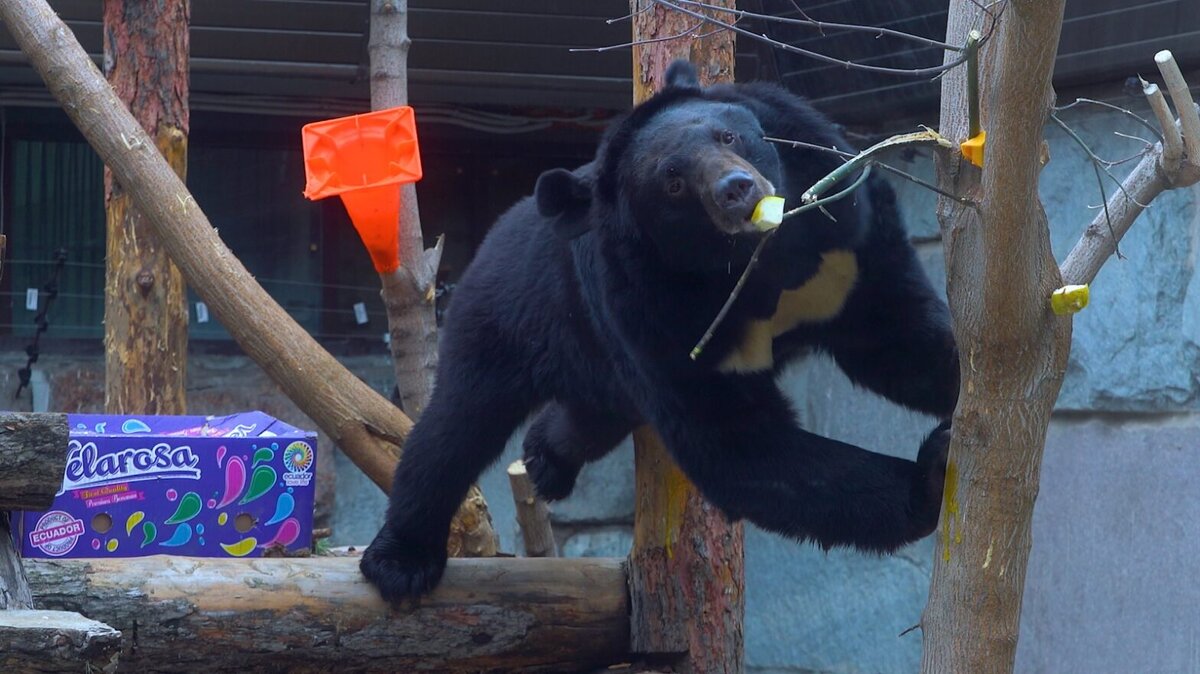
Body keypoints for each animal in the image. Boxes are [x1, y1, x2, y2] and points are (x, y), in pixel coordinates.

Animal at [360, 61, 960, 597]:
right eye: (672, 182)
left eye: (728, 135)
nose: (737, 189)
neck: (753, 262)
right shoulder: (653, 314)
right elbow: (738, 444)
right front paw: (930, 477)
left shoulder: (846, 248)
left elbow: (898, 338)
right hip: (507, 316)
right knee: (455, 426)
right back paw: (400, 561)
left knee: (586, 417)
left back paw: (545, 458)